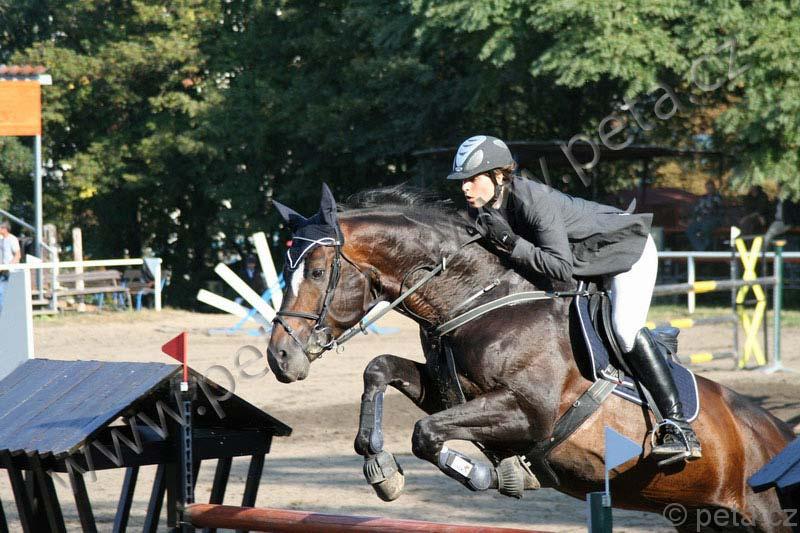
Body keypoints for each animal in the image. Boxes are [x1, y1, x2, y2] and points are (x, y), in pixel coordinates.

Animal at [267, 185, 794, 532]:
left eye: (317, 271)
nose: (280, 358)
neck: (476, 299)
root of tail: (779, 433)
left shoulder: (528, 411)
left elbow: (425, 432)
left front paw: (490, 473)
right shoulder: (448, 393)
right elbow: (379, 368)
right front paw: (381, 468)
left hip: (767, 515)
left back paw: (676, 438)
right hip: (701, 518)